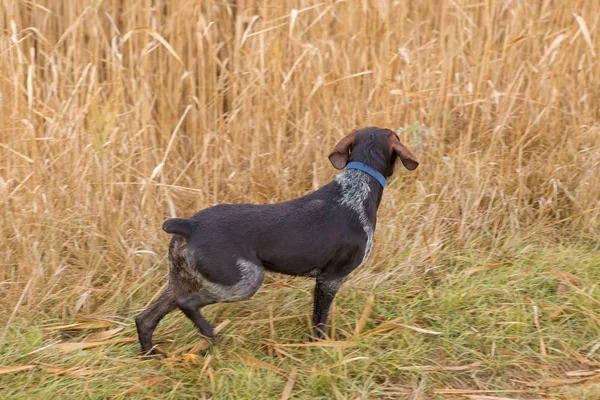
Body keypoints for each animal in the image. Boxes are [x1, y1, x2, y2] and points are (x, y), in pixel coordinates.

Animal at [135, 126, 418, 354]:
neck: (358, 186)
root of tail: (189, 225)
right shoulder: (330, 279)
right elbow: (319, 320)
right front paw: (322, 347)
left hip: (180, 280)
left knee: (145, 319)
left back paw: (152, 355)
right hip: (244, 281)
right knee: (188, 304)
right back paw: (211, 336)